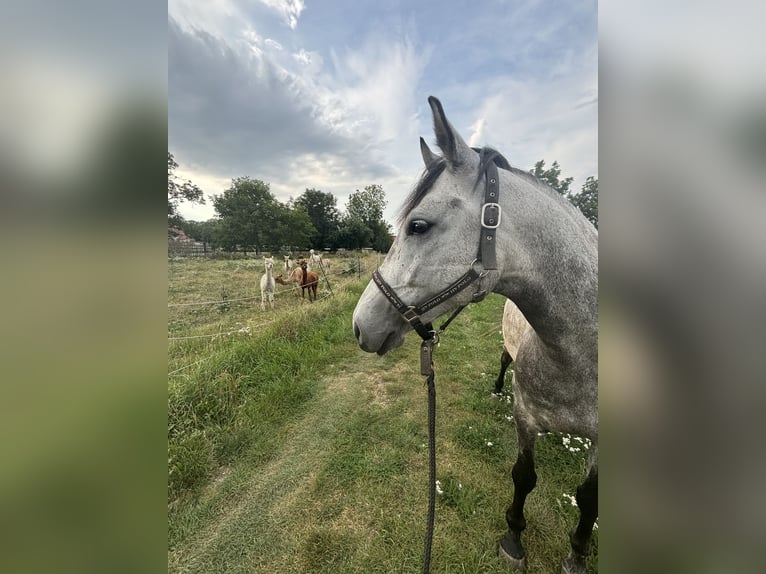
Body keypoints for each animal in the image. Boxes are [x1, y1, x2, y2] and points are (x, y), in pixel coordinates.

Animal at [354, 97, 600, 572]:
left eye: (418, 226)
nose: (360, 325)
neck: (582, 355)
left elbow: (589, 499)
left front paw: (577, 555)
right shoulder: (525, 416)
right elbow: (523, 477)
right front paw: (514, 538)